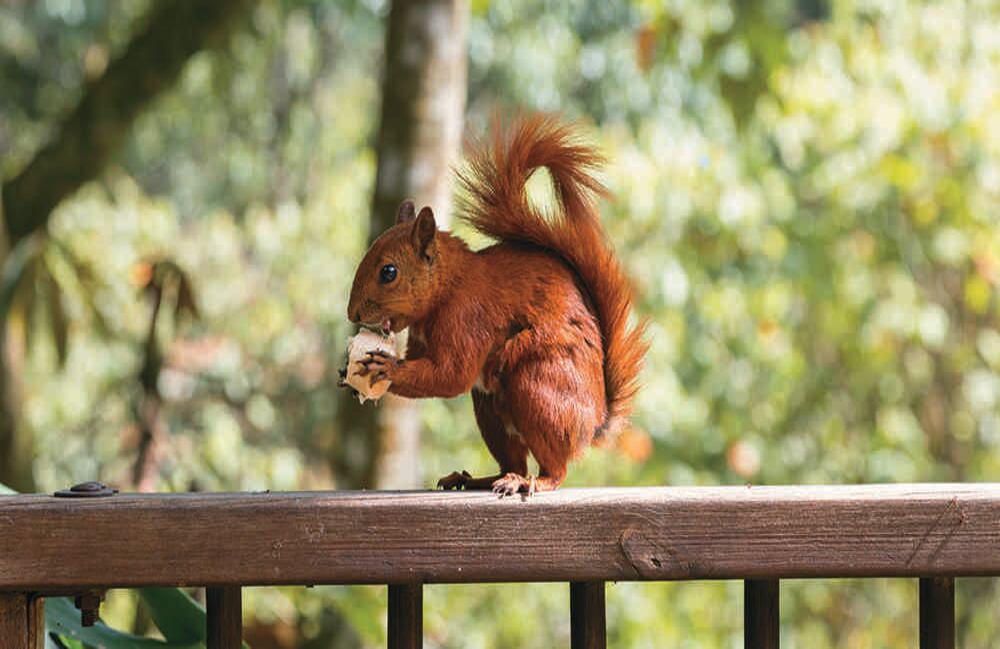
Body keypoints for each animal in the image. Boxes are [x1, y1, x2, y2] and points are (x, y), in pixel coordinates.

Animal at [346, 114, 647, 495]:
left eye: (389, 272)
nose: (352, 313)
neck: (450, 286)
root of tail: (594, 423)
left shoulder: (468, 318)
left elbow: (451, 374)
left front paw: (388, 369)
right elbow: (428, 365)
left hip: (539, 390)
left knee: (555, 469)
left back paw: (532, 482)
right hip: (490, 411)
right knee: (512, 461)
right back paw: (477, 479)